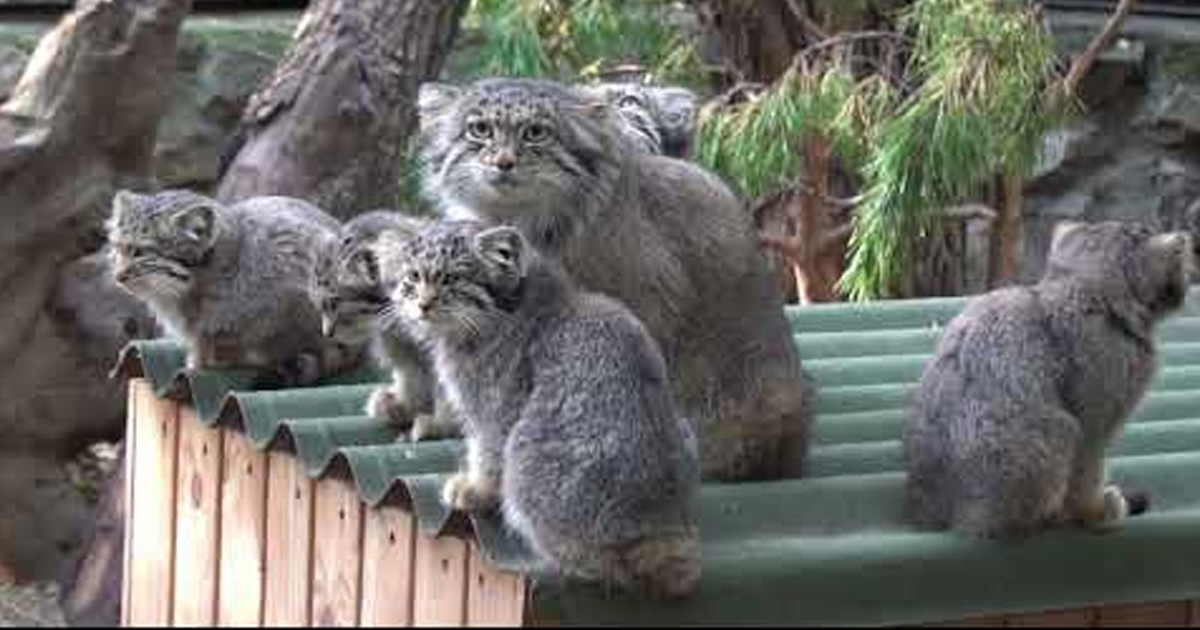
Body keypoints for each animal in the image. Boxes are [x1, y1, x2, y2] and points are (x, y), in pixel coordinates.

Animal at [307, 208, 456, 439]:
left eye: (333, 303)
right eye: (318, 305)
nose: (326, 333)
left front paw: (442, 423)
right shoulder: (399, 342)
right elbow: (411, 373)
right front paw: (405, 405)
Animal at [369, 222, 700, 600]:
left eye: (453, 278)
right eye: (413, 276)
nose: (423, 304)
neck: (510, 308)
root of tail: (657, 521)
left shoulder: (495, 409)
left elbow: (486, 453)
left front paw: (474, 490)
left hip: (526, 456)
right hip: (683, 425)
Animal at [902, 222, 1195, 540]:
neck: (1081, 291)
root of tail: (938, 515)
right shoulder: (1096, 417)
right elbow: (1088, 469)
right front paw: (1093, 510)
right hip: (1058, 431)